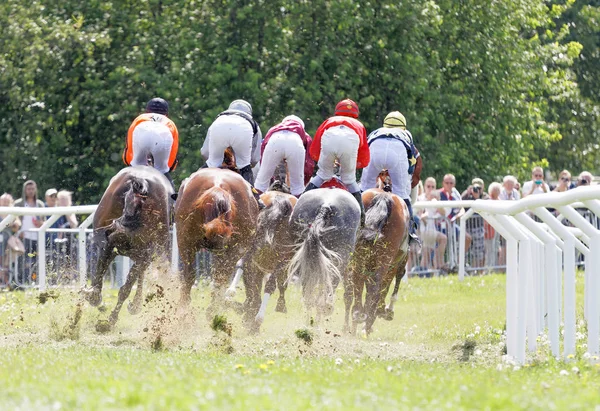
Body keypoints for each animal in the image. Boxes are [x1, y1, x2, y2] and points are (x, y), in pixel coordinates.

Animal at [344, 188, 410, 336]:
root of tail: (383, 196)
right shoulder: (395, 264)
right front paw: (383, 311)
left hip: (359, 256)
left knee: (358, 281)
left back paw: (358, 314)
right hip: (384, 259)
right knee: (375, 284)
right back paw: (368, 319)